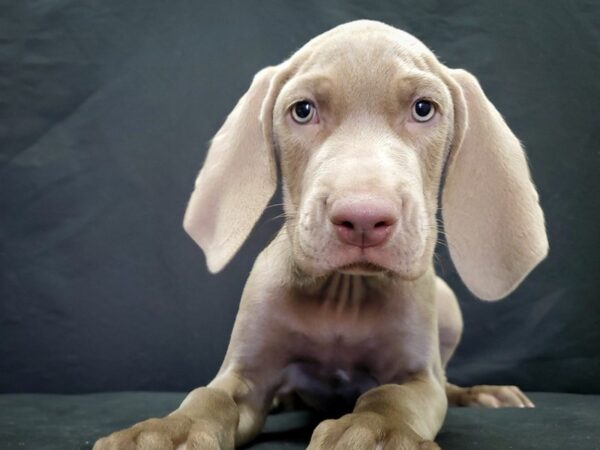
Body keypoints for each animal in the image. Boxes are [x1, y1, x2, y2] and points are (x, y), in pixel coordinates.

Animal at [95, 19, 548, 448]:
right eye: (302, 110)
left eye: (423, 109)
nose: (363, 219)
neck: (343, 295)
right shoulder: (246, 374)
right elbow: (207, 396)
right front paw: (168, 431)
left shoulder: (417, 376)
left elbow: (391, 397)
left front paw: (374, 432)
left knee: (447, 381)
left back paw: (484, 393)